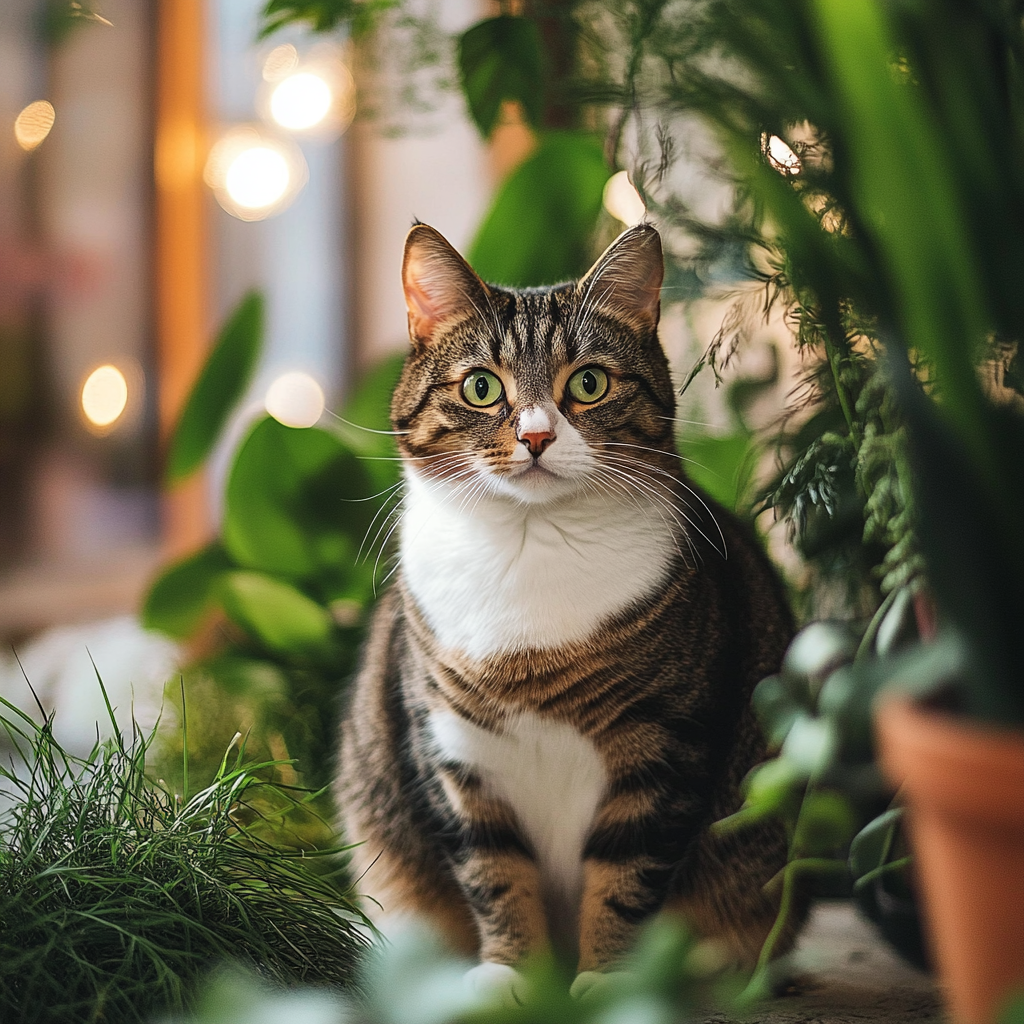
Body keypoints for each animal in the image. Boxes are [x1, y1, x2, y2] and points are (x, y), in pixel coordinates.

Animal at [335, 224, 798, 999]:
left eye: (588, 383)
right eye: (482, 387)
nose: (536, 437)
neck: (532, 542)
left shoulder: (664, 750)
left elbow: (627, 875)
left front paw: (610, 982)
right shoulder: (453, 752)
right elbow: (493, 869)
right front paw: (508, 976)